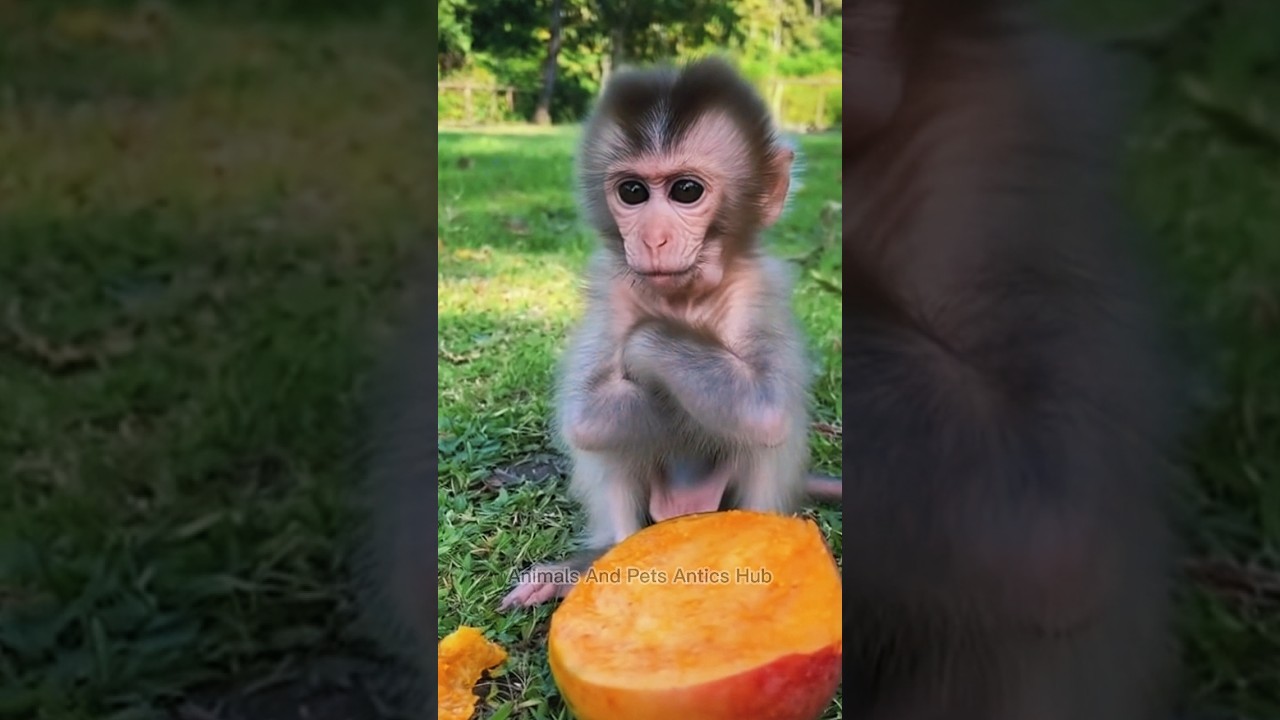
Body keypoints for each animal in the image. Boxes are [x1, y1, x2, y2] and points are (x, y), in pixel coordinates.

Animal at [499, 56, 835, 611]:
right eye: (632, 192)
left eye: (686, 191)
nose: (653, 238)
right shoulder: (612, 290)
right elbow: (586, 416)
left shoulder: (757, 290)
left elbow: (766, 410)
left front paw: (649, 340)